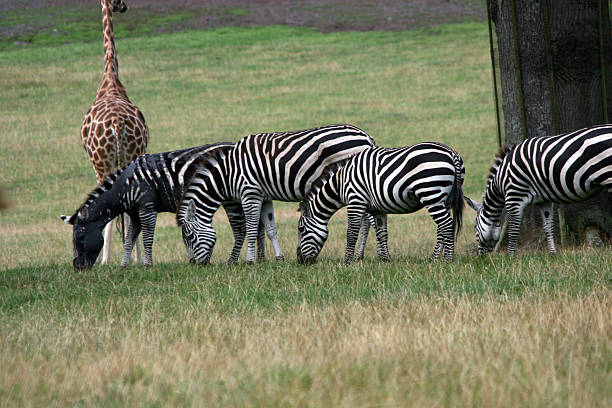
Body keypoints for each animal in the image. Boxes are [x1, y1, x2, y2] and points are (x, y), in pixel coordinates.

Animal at [61, 142, 282, 270]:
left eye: (80, 238)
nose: (77, 267)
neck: (126, 184)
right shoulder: (134, 212)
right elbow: (130, 237)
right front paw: (124, 265)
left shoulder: (147, 207)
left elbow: (147, 237)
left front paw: (148, 265)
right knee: (259, 226)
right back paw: (260, 259)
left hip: (232, 199)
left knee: (243, 228)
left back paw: (240, 261)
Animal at [81, 0, 149, 266]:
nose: (124, 6)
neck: (110, 78)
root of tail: (118, 126)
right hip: (126, 158)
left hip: (104, 164)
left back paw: (109, 259)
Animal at [177, 124, 388, 264]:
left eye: (189, 236)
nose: (195, 264)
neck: (229, 173)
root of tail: (366, 136)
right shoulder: (264, 196)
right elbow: (270, 228)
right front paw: (279, 258)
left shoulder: (250, 193)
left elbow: (252, 229)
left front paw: (249, 261)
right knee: (366, 219)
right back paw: (361, 255)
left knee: (368, 220)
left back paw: (372, 255)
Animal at [296, 143, 464, 264]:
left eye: (301, 230)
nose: (300, 261)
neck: (340, 184)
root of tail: (451, 153)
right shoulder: (377, 209)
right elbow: (382, 233)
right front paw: (385, 260)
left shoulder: (355, 201)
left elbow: (351, 233)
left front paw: (347, 261)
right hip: (444, 199)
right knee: (442, 228)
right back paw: (434, 259)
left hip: (431, 194)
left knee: (447, 225)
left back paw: (447, 260)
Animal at [464, 124, 612, 255]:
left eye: (475, 227)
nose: (480, 257)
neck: (501, 181)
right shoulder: (544, 201)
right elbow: (548, 227)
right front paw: (552, 253)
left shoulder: (514, 197)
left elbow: (513, 230)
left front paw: (510, 257)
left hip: (608, 175)